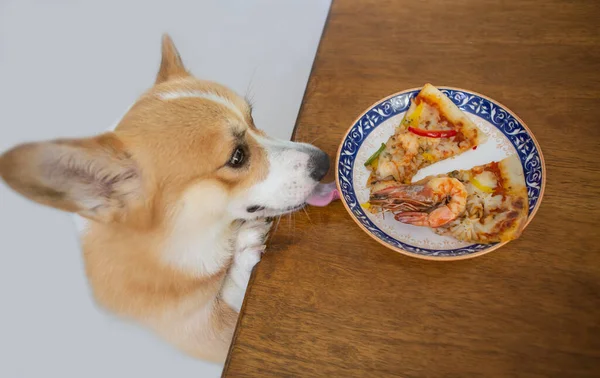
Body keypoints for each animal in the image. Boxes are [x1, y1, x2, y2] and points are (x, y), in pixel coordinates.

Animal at [0, 35, 328, 364]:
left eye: (253, 118)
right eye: (237, 157)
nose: (325, 162)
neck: (172, 248)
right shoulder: (207, 337)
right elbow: (227, 298)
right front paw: (243, 255)